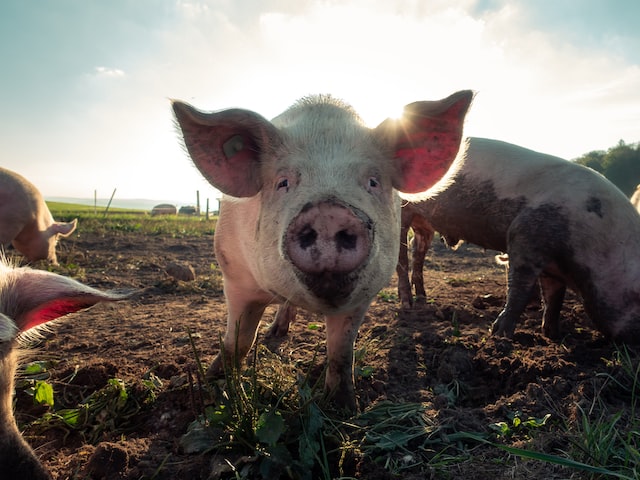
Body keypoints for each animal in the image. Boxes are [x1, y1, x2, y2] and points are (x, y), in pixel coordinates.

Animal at [172, 90, 472, 408]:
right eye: (283, 182)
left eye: (373, 181)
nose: (329, 213)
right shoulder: (234, 275)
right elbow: (237, 341)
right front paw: (214, 385)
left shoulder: (363, 296)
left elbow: (341, 352)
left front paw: (343, 407)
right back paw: (274, 333)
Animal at [396, 136, 640, 342]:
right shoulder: (524, 236)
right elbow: (519, 289)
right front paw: (499, 335)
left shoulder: (552, 267)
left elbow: (554, 298)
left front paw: (554, 335)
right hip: (401, 212)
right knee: (401, 257)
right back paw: (407, 305)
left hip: (424, 224)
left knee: (417, 251)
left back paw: (422, 298)